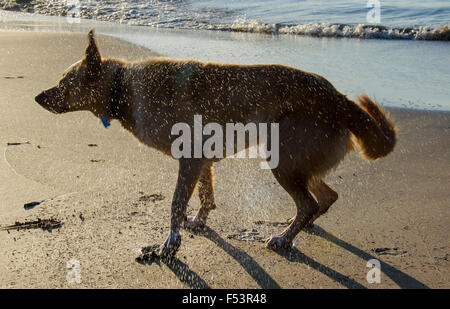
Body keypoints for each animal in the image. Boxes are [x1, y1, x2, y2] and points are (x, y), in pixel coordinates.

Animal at [36, 29, 398, 258]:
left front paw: (169, 245)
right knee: (324, 197)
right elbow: (205, 197)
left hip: (282, 159)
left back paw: (284, 237)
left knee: (308, 202)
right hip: (299, 161)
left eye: (63, 83)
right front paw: (196, 222)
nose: (37, 97)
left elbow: (176, 204)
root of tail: (339, 98)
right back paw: (300, 228)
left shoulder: (190, 160)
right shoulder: (202, 160)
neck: (122, 87)